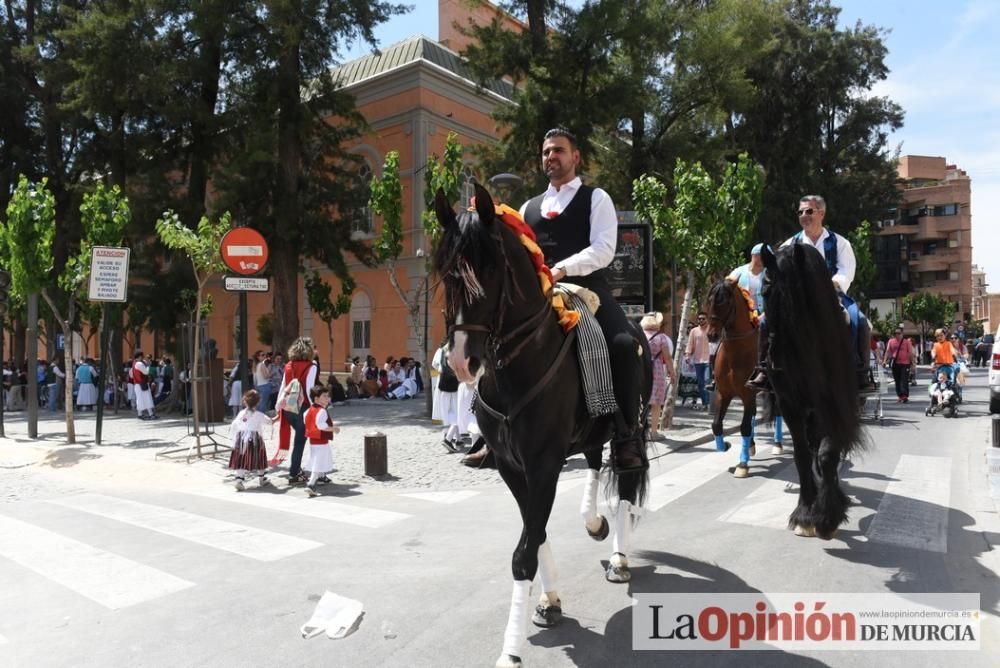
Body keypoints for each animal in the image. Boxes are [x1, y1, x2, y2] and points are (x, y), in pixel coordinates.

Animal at [434, 183, 652, 668]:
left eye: (489, 270)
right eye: (445, 274)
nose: (459, 361)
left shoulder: (544, 464)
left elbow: (524, 552)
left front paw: (510, 651)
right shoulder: (512, 467)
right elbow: (536, 535)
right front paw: (550, 602)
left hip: (630, 428)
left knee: (627, 486)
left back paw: (620, 556)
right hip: (591, 432)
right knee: (594, 464)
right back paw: (594, 522)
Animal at [708, 280, 760, 478]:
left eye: (725, 301)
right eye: (709, 300)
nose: (711, 335)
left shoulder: (747, 394)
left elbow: (744, 427)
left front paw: (742, 465)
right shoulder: (724, 394)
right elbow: (716, 425)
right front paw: (725, 445)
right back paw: (751, 446)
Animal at [760, 243, 864, 540]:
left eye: (797, 298)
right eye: (764, 292)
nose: (775, 362)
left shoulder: (835, 405)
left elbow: (828, 454)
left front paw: (827, 516)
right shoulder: (790, 404)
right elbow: (802, 454)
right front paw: (806, 512)